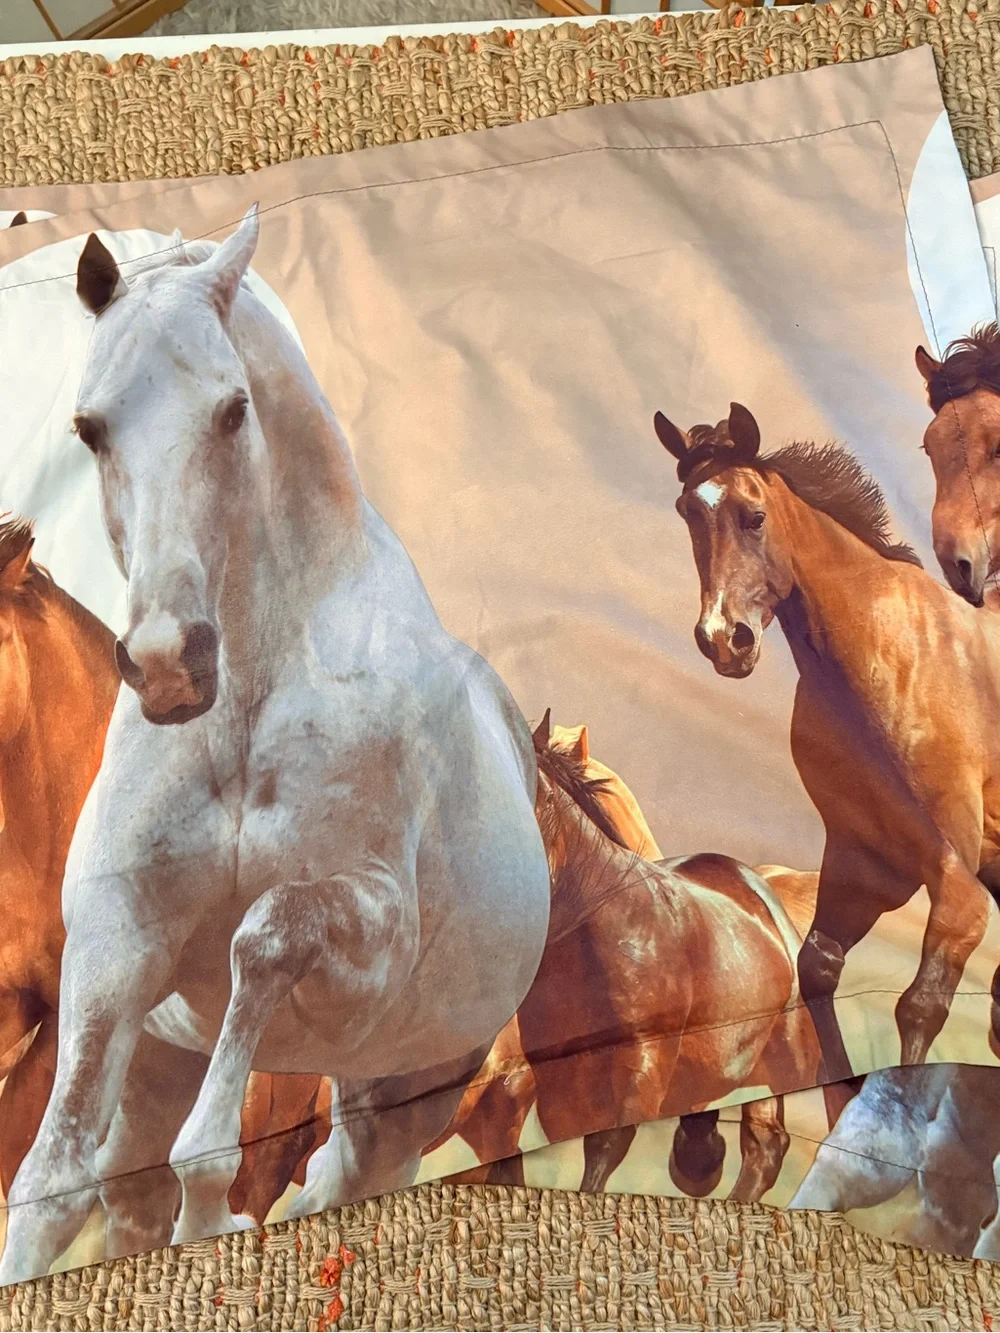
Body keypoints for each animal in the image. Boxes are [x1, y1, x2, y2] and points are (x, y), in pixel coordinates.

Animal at [0, 207, 552, 1284]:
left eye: (231, 410)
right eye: (90, 427)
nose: (168, 662)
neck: (249, 710)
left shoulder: (370, 928)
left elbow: (264, 934)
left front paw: (215, 1208)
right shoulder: (118, 941)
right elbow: (50, 1183)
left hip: (401, 1091)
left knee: (345, 1170)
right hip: (161, 1061)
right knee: (130, 1187)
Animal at [657, 401, 1000, 1083]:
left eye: (755, 515)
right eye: (688, 513)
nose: (723, 640)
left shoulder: (957, 888)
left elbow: (919, 1008)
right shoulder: (861, 867)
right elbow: (817, 973)